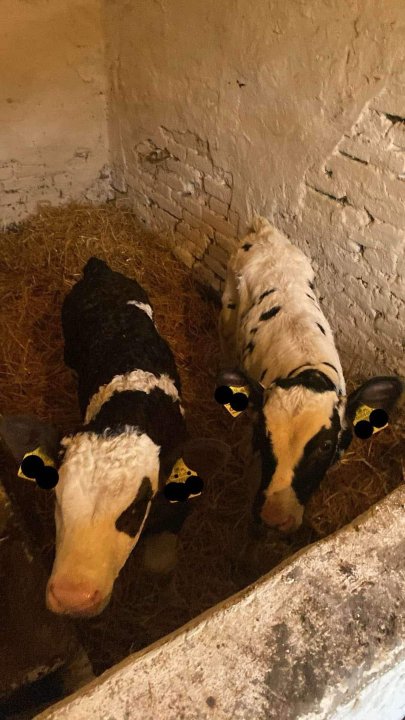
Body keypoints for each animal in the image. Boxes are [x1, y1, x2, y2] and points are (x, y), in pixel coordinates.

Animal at [0, 258, 228, 617]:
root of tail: (100, 270)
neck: (130, 407)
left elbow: (159, 563)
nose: (72, 596)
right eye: (57, 500)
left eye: (134, 511)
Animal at [217, 216, 403, 534]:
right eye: (262, 435)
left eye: (325, 445)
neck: (307, 369)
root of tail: (265, 230)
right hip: (229, 300)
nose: (275, 518)